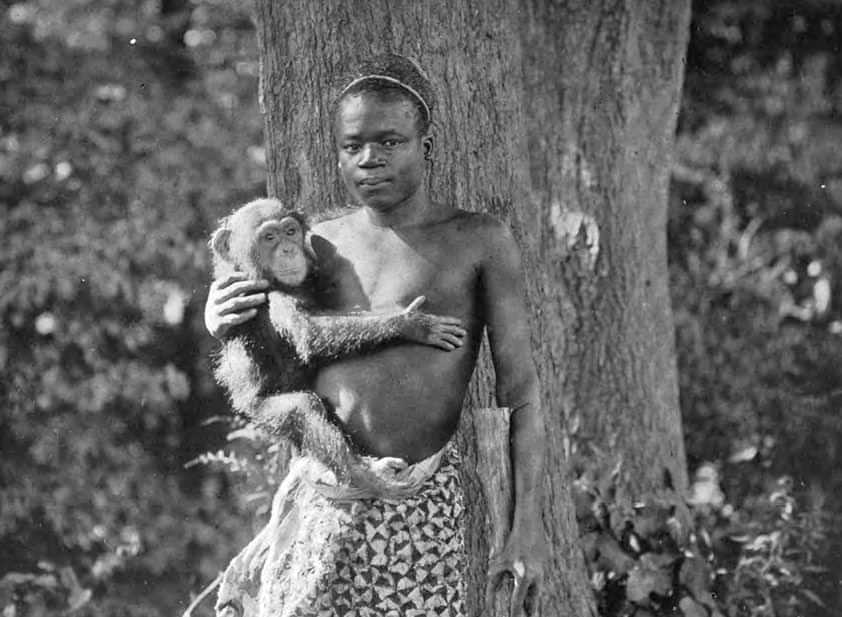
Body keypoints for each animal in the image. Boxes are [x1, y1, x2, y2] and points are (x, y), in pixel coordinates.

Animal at [209, 198, 466, 492]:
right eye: (269, 237)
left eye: (290, 231)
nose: (288, 249)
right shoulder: (275, 297)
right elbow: (307, 332)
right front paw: (412, 323)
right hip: (261, 411)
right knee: (303, 408)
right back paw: (365, 476)